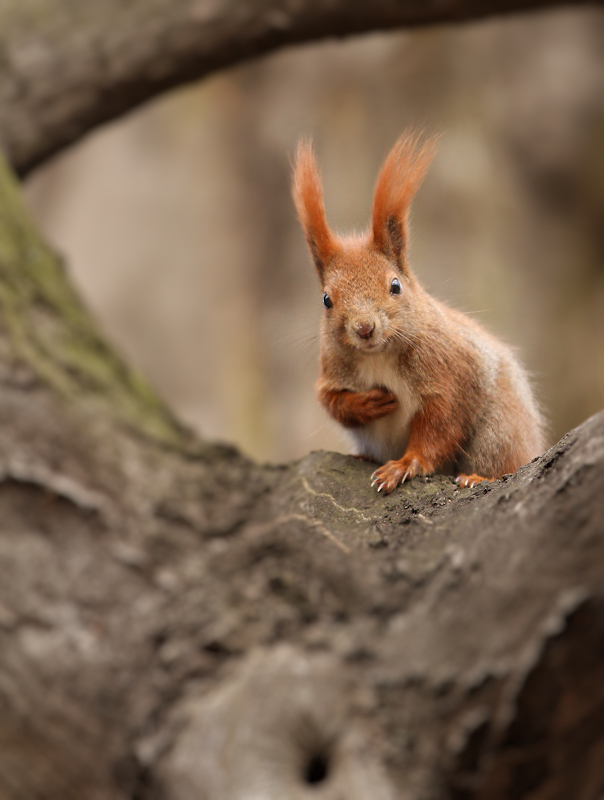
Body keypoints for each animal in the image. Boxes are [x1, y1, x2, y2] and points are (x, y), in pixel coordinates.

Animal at [292, 132, 548, 494]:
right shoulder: (332, 369)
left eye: (395, 286)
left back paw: (476, 477)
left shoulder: (450, 373)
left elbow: (439, 427)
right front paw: (370, 403)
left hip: (499, 430)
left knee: (502, 460)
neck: (378, 355)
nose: (364, 328)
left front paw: (403, 466)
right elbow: (332, 402)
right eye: (327, 299)